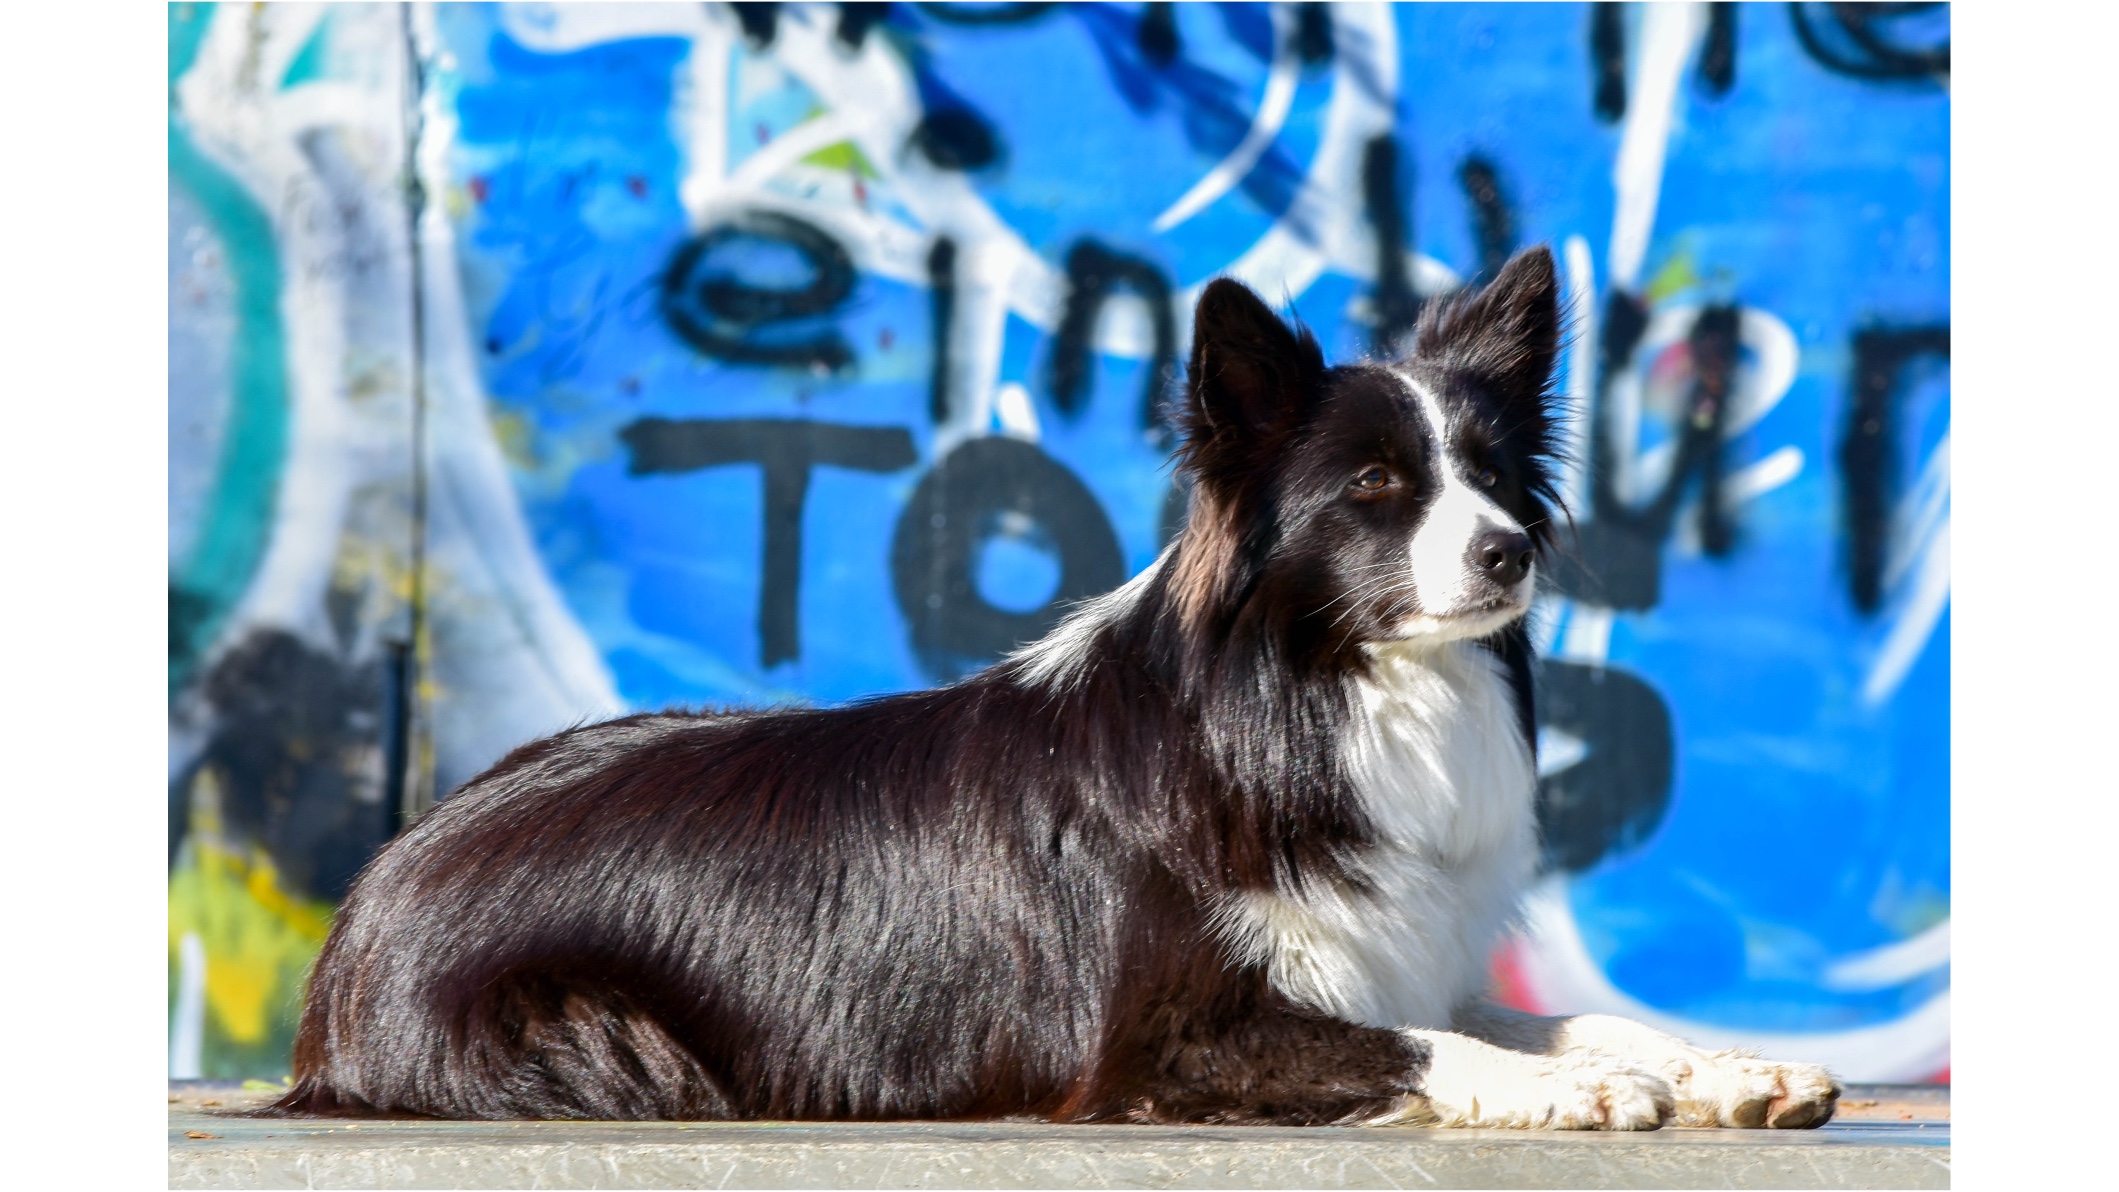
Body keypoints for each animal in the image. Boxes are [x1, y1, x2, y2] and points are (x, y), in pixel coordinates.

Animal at [273, 249, 1839, 1126]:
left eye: (1500, 480)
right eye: (1376, 489)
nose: (1510, 551)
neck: (1308, 695)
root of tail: (360, 912)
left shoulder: (1401, 948)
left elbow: (1540, 1011)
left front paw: (1716, 1066)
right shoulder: (1157, 1042)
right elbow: (1410, 1046)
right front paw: (1562, 1091)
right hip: (614, 1042)